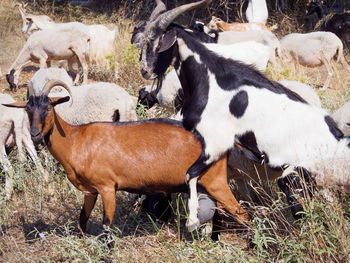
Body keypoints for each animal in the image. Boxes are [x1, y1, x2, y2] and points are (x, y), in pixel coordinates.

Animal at [3, 79, 249, 234]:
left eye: (48, 107)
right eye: (28, 110)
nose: (35, 135)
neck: (76, 138)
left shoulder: (107, 187)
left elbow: (107, 227)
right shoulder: (91, 191)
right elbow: (82, 219)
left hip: (216, 182)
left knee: (242, 213)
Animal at [133, 0, 350, 232]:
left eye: (158, 43)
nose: (145, 70)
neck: (210, 78)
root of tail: (336, 137)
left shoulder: (216, 142)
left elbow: (189, 174)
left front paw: (193, 220)